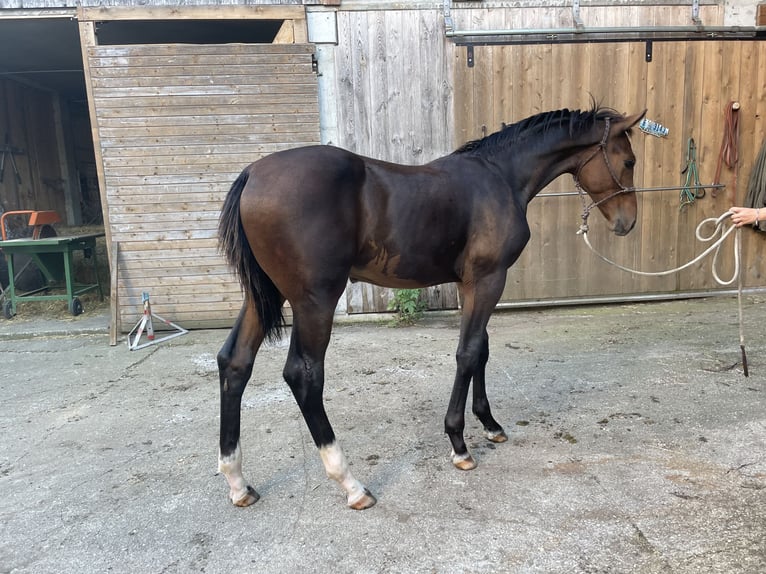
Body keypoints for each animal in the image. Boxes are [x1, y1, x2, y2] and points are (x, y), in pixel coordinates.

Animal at [216, 106, 648, 510]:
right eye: (629, 161)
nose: (628, 222)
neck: (500, 177)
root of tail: (253, 174)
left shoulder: (471, 283)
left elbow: (480, 351)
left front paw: (489, 424)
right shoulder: (489, 279)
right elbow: (468, 353)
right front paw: (459, 443)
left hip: (263, 295)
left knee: (234, 362)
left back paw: (238, 482)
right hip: (315, 300)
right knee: (303, 375)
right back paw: (351, 485)